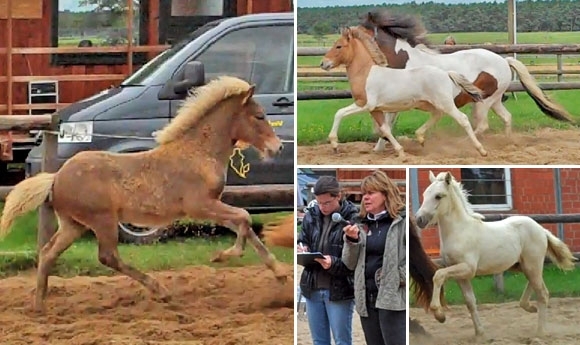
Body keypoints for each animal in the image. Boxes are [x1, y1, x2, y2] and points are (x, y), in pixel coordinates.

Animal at [0, 76, 288, 314]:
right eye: (259, 116)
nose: (278, 147)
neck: (198, 152)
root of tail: (56, 178)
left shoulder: (213, 205)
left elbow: (244, 224)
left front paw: (280, 273)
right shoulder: (200, 205)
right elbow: (244, 217)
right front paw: (223, 256)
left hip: (74, 224)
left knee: (49, 252)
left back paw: (39, 304)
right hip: (102, 221)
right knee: (108, 256)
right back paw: (160, 290)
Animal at [322, 27, 490, 157]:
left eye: (338, 46)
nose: (323, 63)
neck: (366, 74)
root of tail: (446, 73)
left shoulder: (364, 104)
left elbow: (339, 113)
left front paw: (334, 144)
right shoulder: (375, 109)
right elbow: (385, 129)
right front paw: (400, 151)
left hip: (445, 103)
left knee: (462, 119)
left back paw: (481, 150)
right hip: (429, 104)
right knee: (437, 115)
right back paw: (420, 137)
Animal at [416, 171, 576, 338]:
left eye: (438, 196)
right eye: (425, 194)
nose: (419, 219)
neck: (460, 231)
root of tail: (541, 230)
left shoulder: (467, 268)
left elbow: (438, 275)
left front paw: (439, 314)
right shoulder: (460, 274)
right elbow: (470, 302)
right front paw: (480, 334)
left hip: (532, 264)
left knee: (542, 292)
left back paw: (540, 332)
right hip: (522, 266)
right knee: (536, 284)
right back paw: (530, 307)